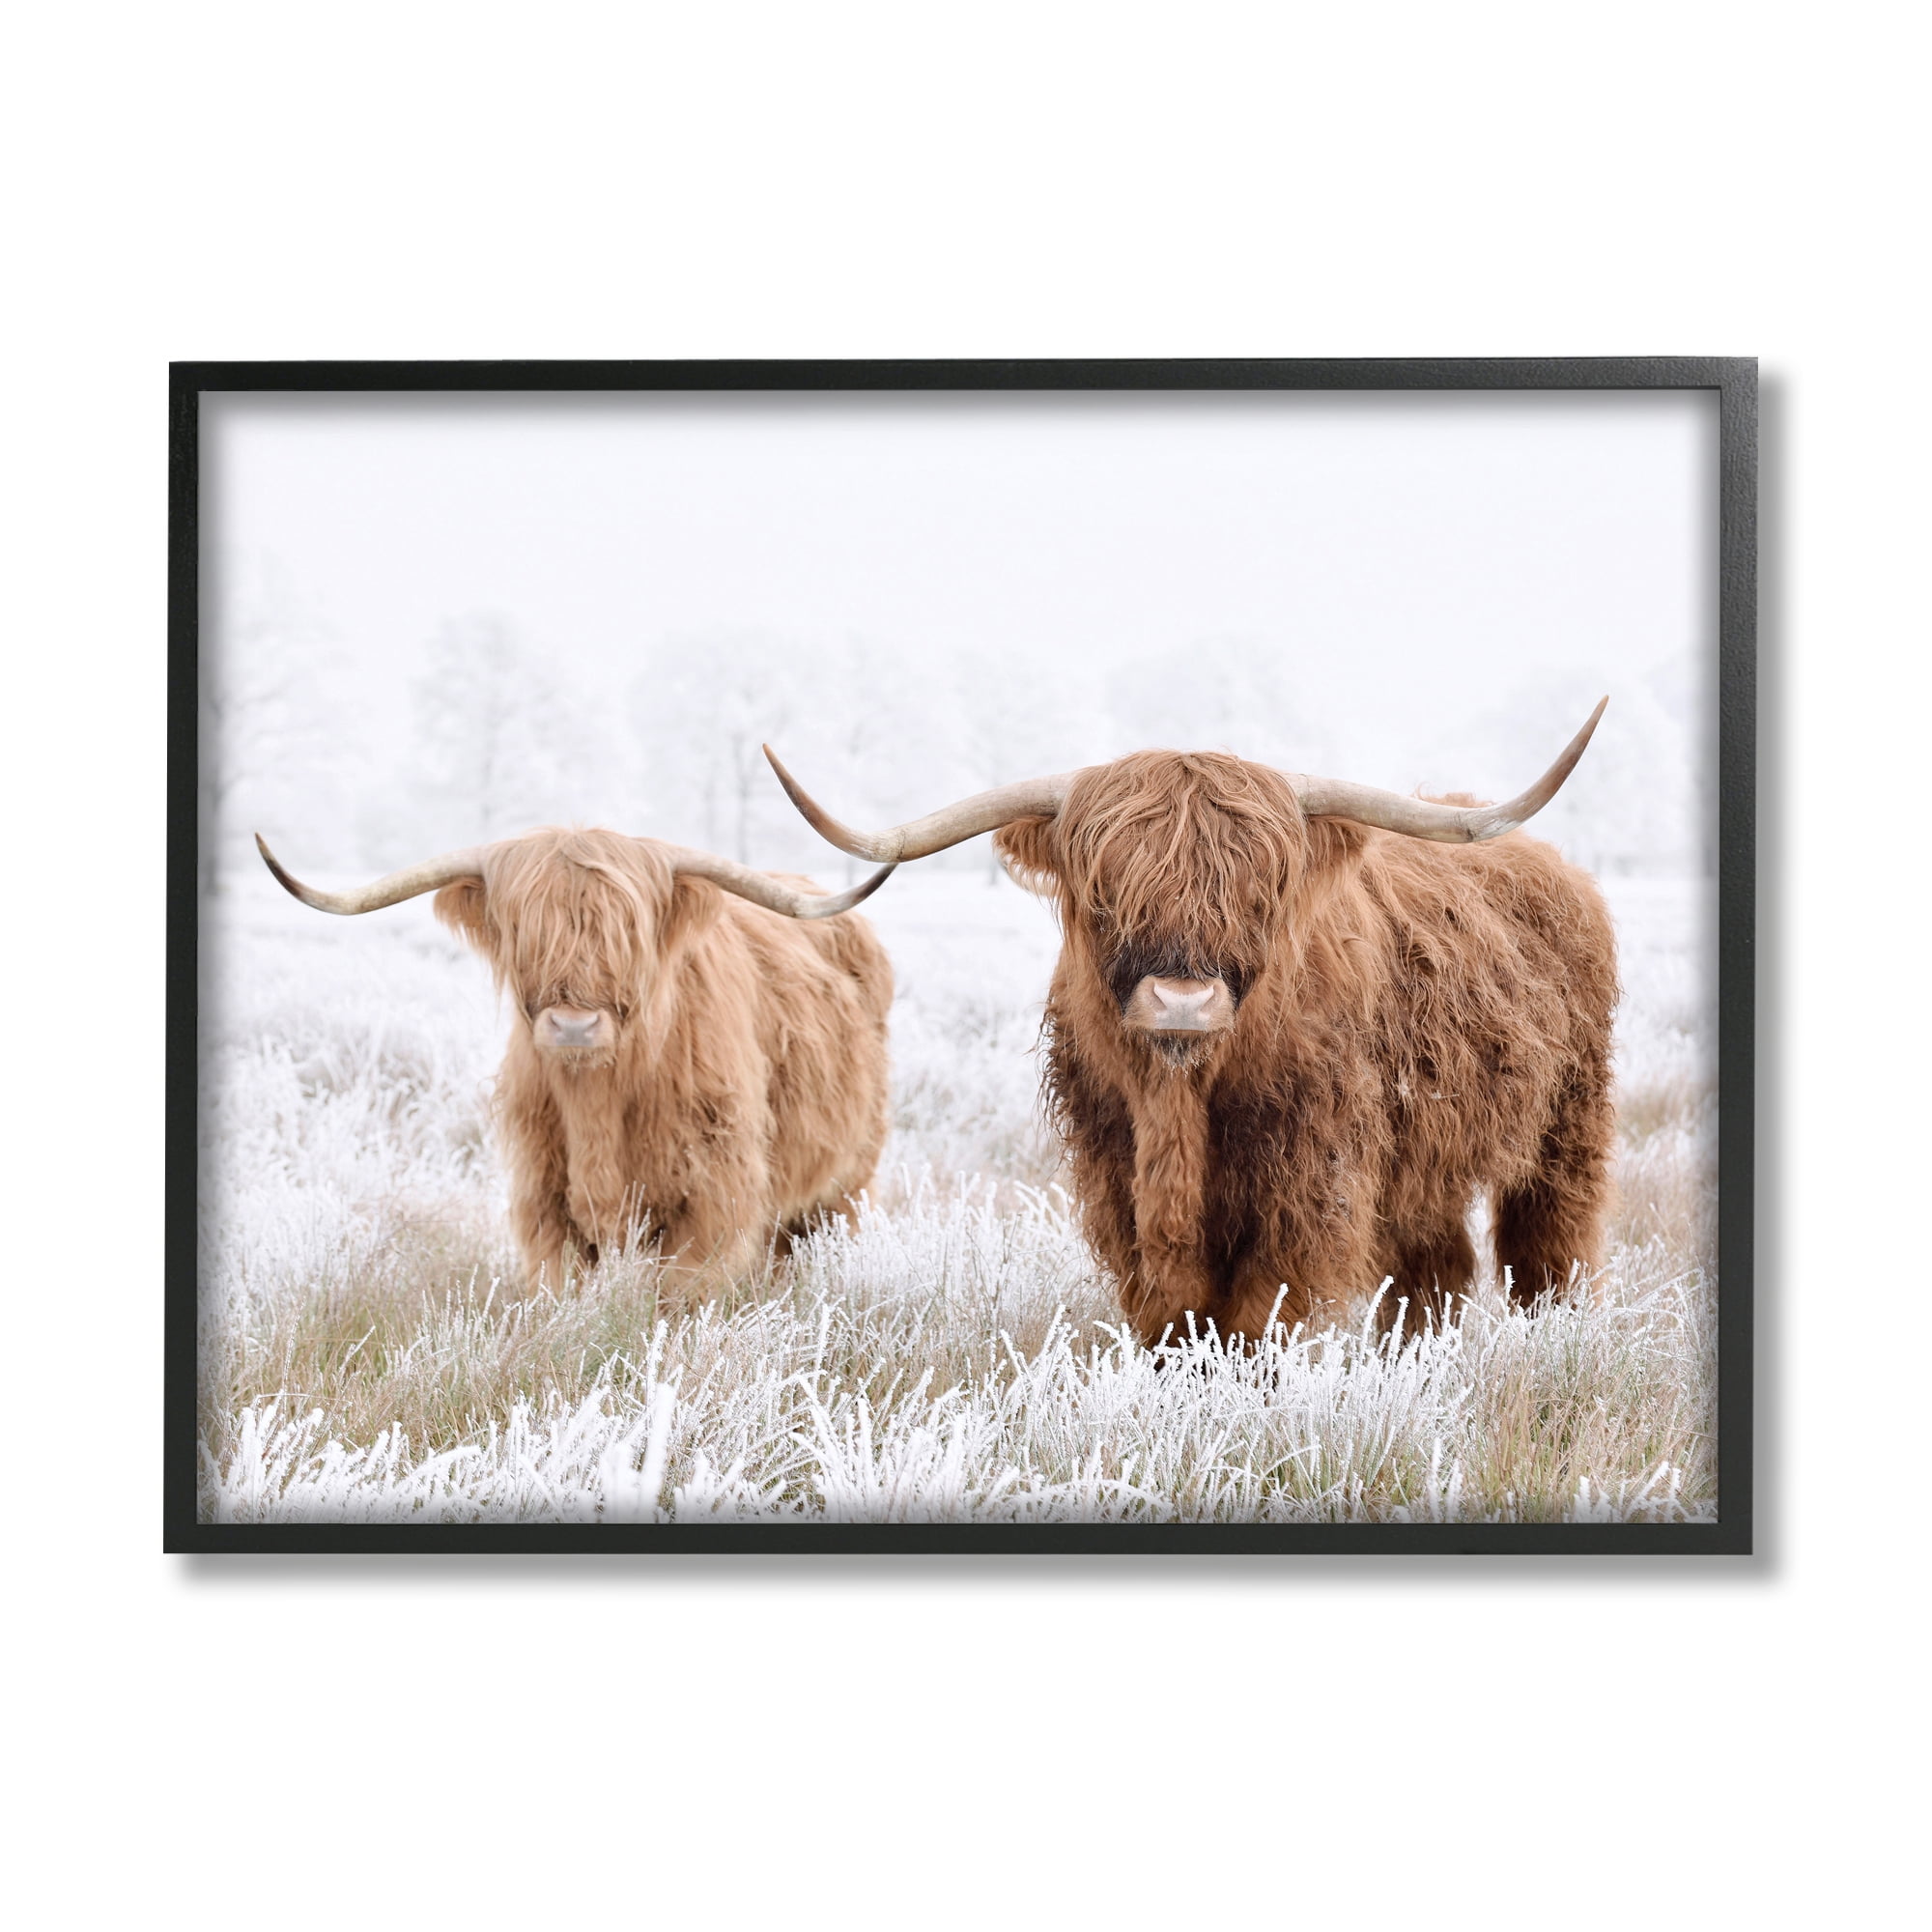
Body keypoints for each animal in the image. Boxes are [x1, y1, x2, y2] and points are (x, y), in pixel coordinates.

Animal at [257, 827, 897, 1290]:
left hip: (845, 1183)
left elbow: (680, 1297)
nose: (573, 1025)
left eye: (628, 933)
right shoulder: (544, 1201)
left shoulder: (713, 1200)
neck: (599, 1104)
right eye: (523, 931)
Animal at [763, 702, 1616, 1345]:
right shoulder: (1117, 1179)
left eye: (1260, 894)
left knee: (1548, 1246)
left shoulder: (1310, 1187)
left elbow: (1258, 1318)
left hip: (1568, 1123)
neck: (1179, 1103)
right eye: (1104, 894)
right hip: (1428, 1162)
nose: (1182, 1002)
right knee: (1436, 1268)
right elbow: (1172, 1317)